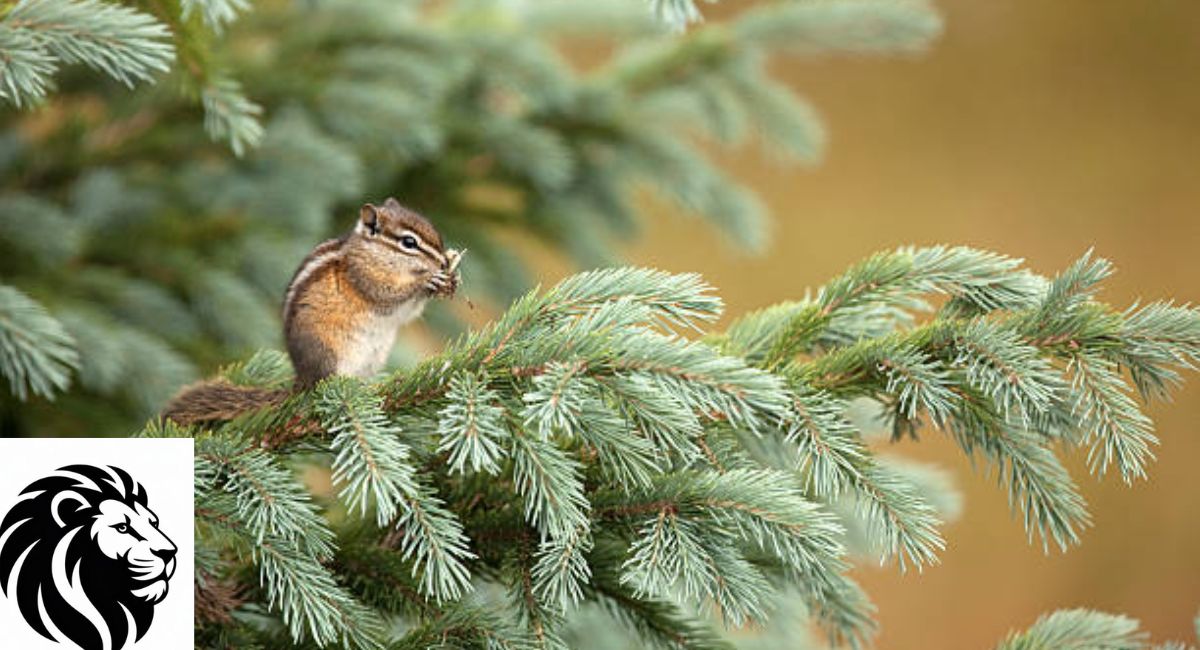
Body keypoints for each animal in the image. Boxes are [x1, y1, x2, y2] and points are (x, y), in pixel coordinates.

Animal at [162, 197, 462, 425]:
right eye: (409, 243)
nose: (443, 261)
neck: (372, 252)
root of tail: (302, 379)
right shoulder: (365, 277)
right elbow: (387, 295)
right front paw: (427, 281)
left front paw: (448, 279)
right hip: (329, 352)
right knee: (325, 387)